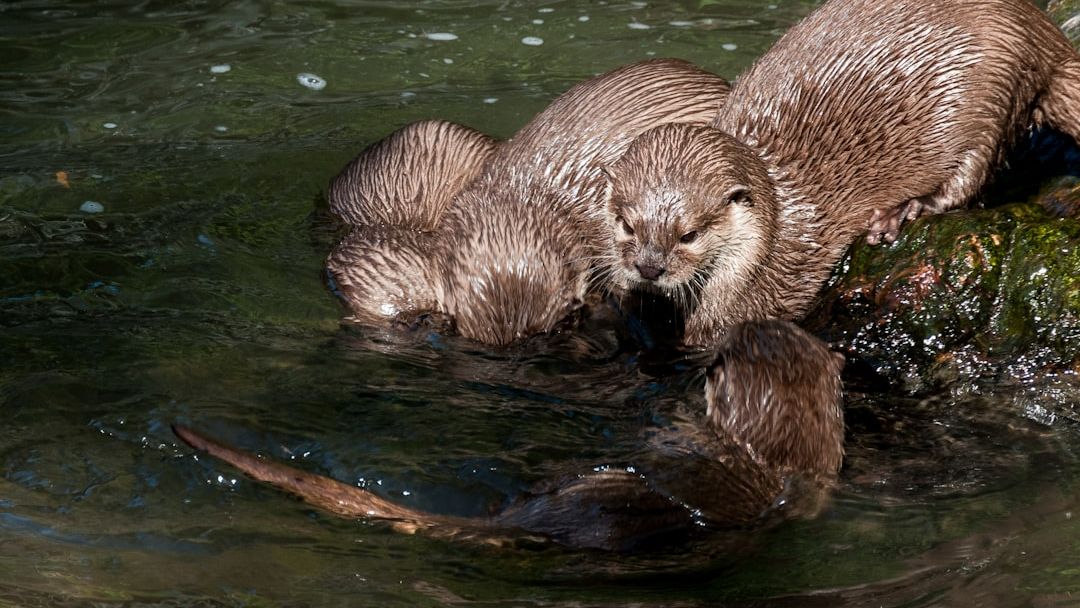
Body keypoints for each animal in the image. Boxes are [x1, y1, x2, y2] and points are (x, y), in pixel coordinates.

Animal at [602, 0, 1080, 347]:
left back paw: (903, 211)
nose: (649, 268)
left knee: (972, 175)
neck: (775, 235)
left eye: (689, 235)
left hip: (991, 93)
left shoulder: (758, 294)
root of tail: (1044, 35)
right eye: (626, 225)